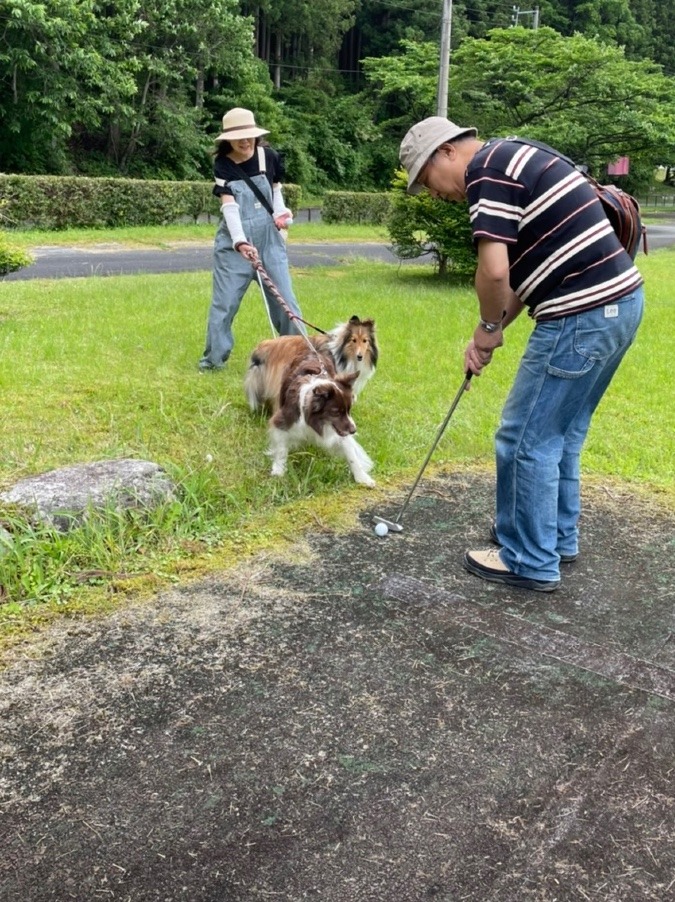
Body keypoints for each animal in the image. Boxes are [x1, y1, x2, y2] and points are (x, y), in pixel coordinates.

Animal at [246, 340, 378, 488]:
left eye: (349, 409)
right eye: (336, 412)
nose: (354, 430)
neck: (316, 420)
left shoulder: (341, 429)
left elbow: (351, 455)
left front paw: (362, 477)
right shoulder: (282, 420)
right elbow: (280, 449)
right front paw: (279, 470)